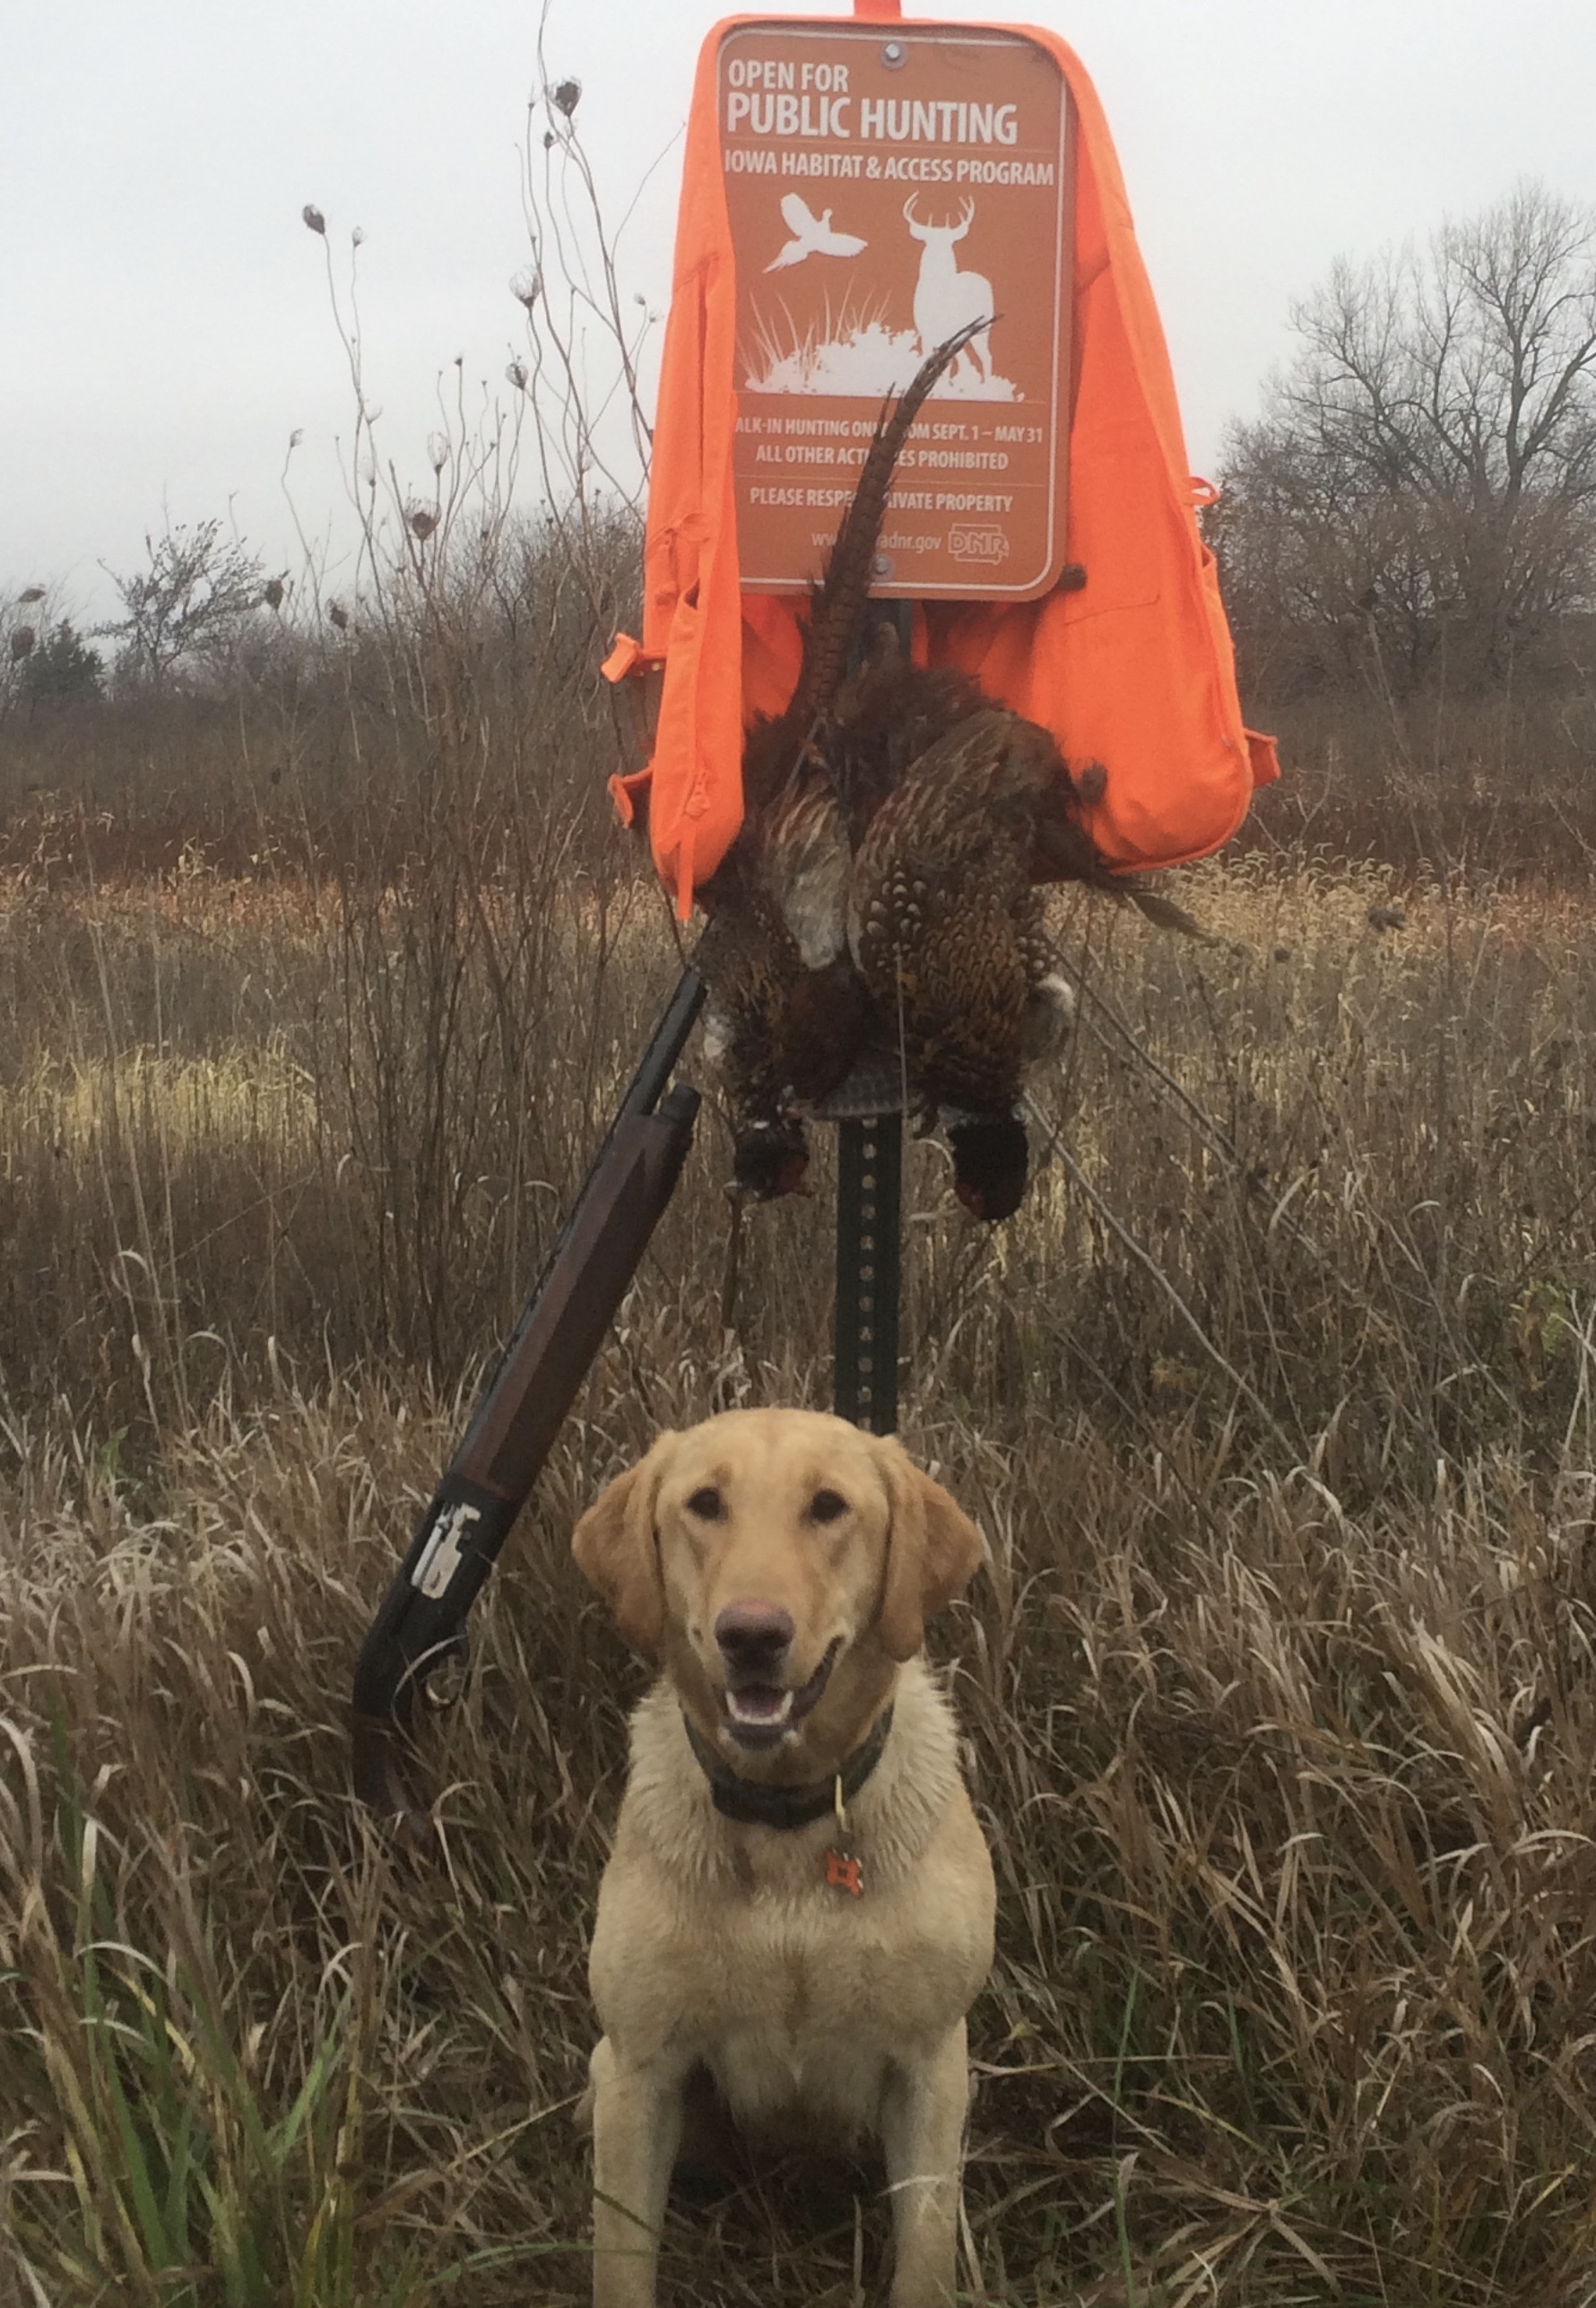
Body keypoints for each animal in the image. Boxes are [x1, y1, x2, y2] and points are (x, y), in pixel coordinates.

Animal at [574, 1402, 996, 2308]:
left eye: (828, 1507)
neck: (786, 1825)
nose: (752, 1635)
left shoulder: (931, 2067)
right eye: (704, 1504)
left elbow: (926, 2258)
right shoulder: (639, 2073)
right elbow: (620, 2265)